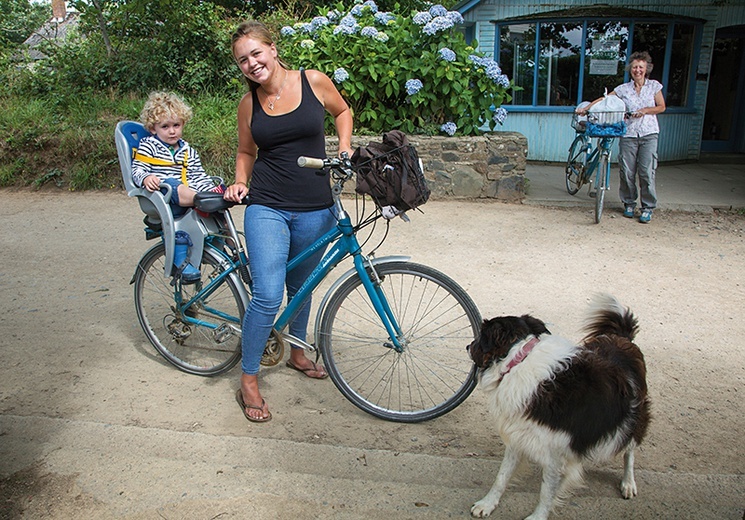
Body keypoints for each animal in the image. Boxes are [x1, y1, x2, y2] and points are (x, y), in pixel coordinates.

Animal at [468, 294, 648, 516]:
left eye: (480, 337)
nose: (467, 346)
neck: (518, 360)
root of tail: (621, 338)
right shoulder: (518, 435)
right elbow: (501, 477)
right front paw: (487, 504)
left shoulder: (556, 455)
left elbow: (547, 493)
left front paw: (538, 516)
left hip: (630, 420)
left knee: (630, 449)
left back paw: (628, 482)